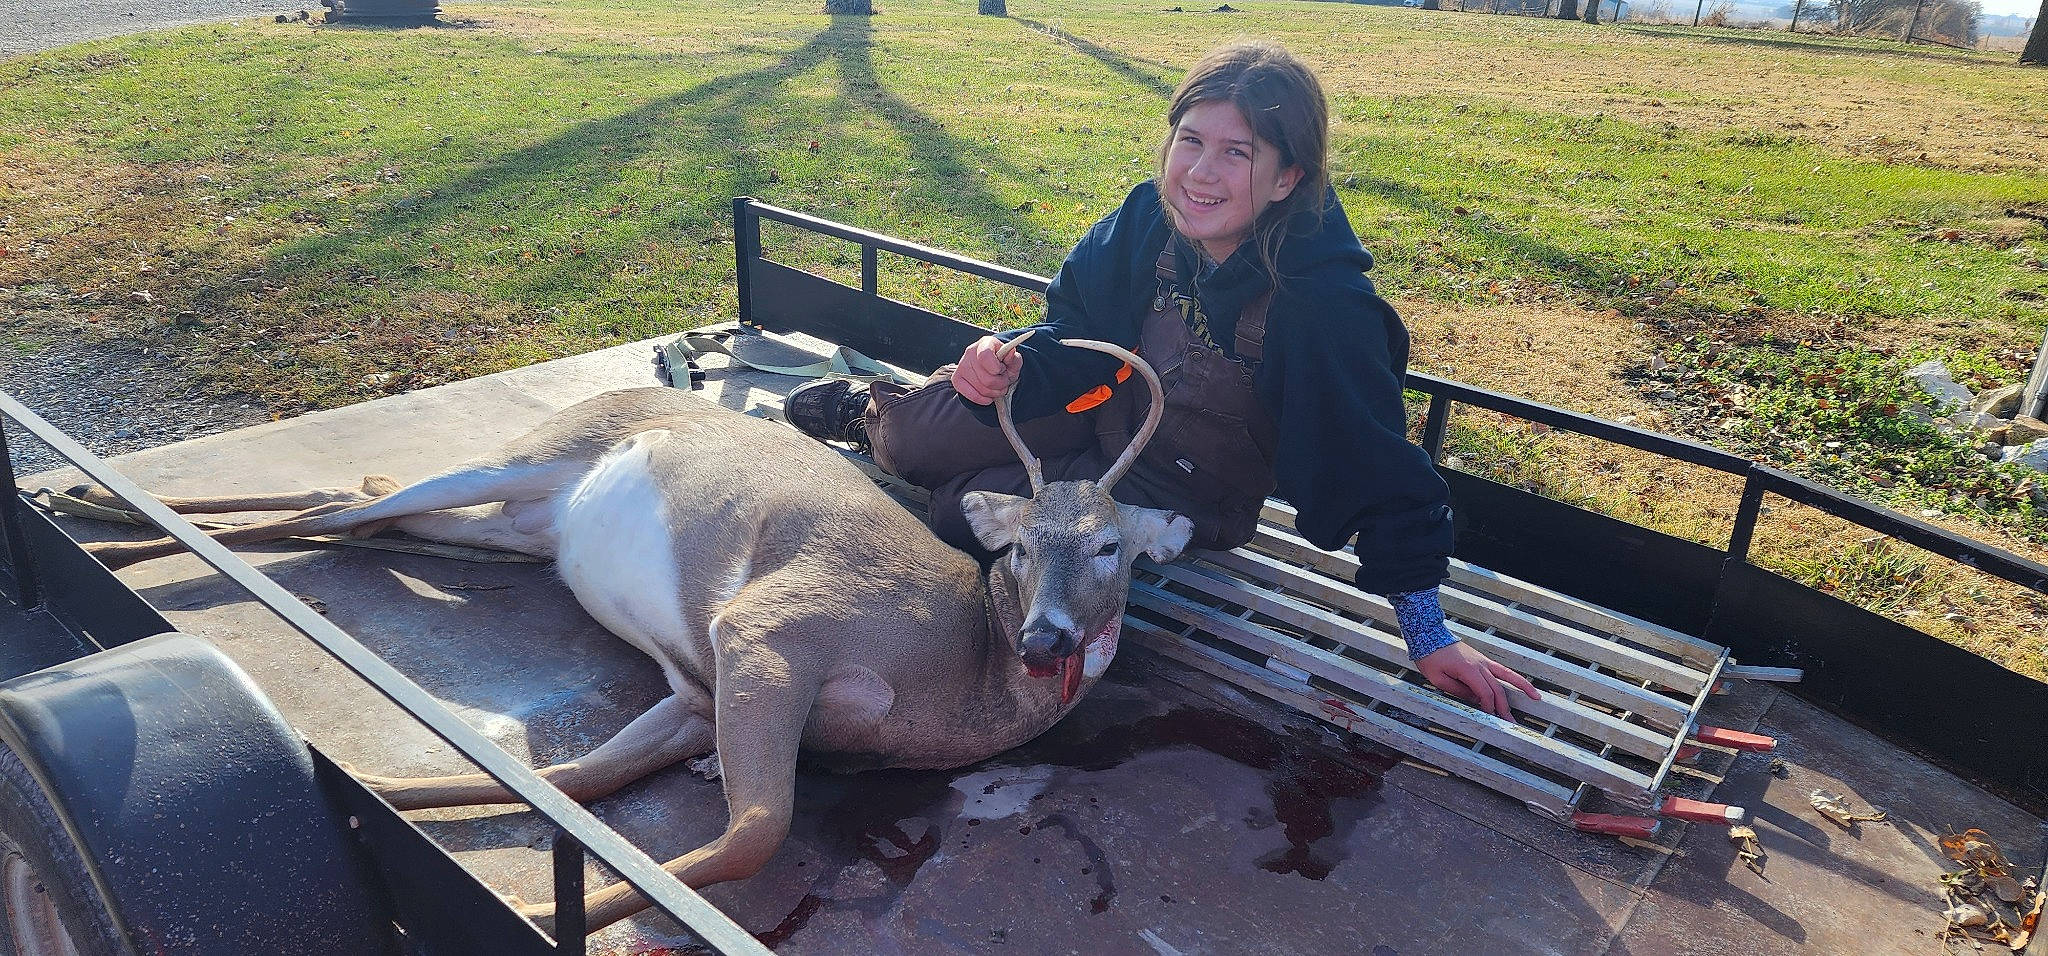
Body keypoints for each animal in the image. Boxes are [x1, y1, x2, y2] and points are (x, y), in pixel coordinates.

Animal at [77, 335, 1192, 931]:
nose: (1047, 641)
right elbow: (754, 831)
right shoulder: (766, 629)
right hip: (532, 455)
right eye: (1022, 546)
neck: (954, 669)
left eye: (1112, 549)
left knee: (364, 508)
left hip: (516, 526)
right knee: (346, 502)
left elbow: (574, 781)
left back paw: (113, 521)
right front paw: (535, 916)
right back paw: (107, 516)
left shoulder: (698, 696)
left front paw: (384, 797)